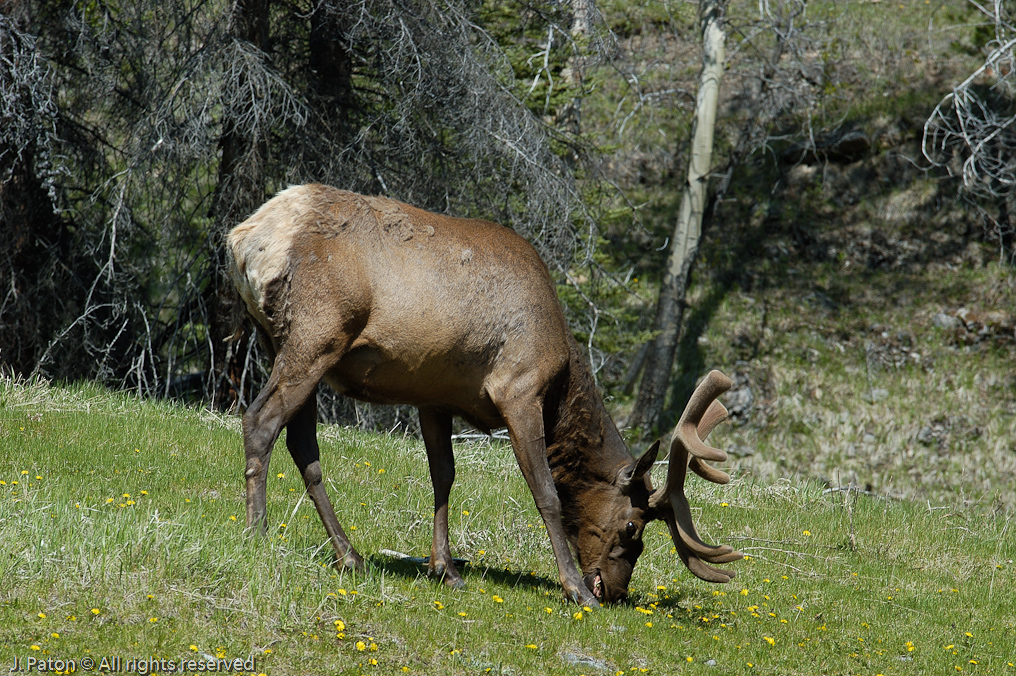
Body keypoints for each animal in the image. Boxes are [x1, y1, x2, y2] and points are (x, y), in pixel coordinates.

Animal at [226, 184, 741, 606]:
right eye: (633, 525)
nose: (615, 591)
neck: (562, 379)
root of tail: (246, 240)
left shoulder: (433, 396)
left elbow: (443, 476)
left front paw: (445, 568)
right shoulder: (519, 389)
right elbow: (547, 494)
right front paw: (573, 588)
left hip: (284, 343)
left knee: (302, 444)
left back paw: (349, 555)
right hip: (316, 334)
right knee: (260, 421)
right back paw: (257, 533)